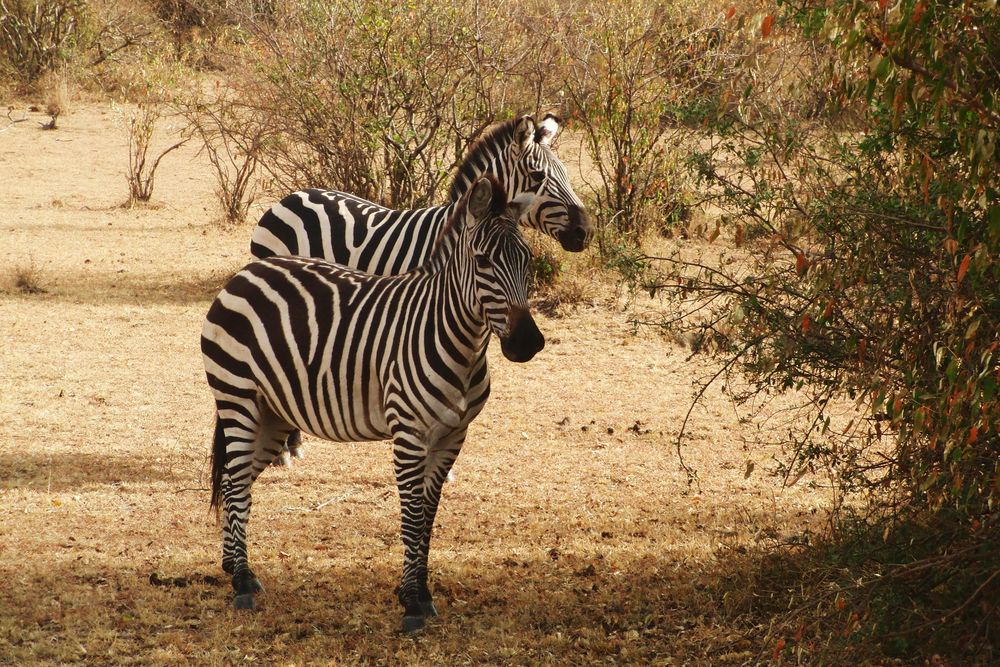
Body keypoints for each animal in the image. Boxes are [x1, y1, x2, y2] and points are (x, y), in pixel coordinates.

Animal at [203, 175, 548, 636]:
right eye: (483, 261)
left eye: (527, 259)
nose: (527, 343)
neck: (453, 337)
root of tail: (246, 272)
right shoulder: (409, 433)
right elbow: (413, 515)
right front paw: (412, 603)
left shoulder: (453, 436)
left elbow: (429, 517)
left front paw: (420, 593)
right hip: (237, 397)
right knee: (237, 482)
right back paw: (241, 582)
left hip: (271, 415)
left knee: (232, 482)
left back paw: (234, 569)